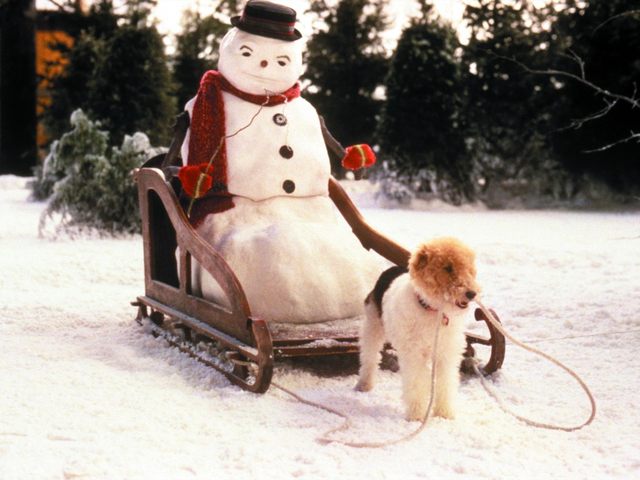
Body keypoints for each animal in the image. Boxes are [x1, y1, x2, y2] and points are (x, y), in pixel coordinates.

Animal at [356, 238, 480, 422]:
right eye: (447, 267)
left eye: (469, 268)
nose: (471, 293)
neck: (431, 310)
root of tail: (393, 268)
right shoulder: (413, 355)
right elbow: (416, 384)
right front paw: (417, 416)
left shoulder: (445, 354)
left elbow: (445, 383)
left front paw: (444, 413)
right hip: (373, 327)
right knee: (370, 358)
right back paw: (364, 384)